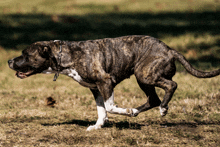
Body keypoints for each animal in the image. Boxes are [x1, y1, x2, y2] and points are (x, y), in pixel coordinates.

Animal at [7, 35, 219, 131]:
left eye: (26, 54)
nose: (9, 61)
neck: (64, 55)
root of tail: (170, 50)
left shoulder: (106, 82)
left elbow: (109, 106)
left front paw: (122, 111)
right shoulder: (96, 88)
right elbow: (101, 109)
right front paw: (98, 126)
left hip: (144, 75)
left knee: (171, 86)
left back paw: (162, 109)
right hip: (144, 79)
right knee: (153, 99)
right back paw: (136, 111)